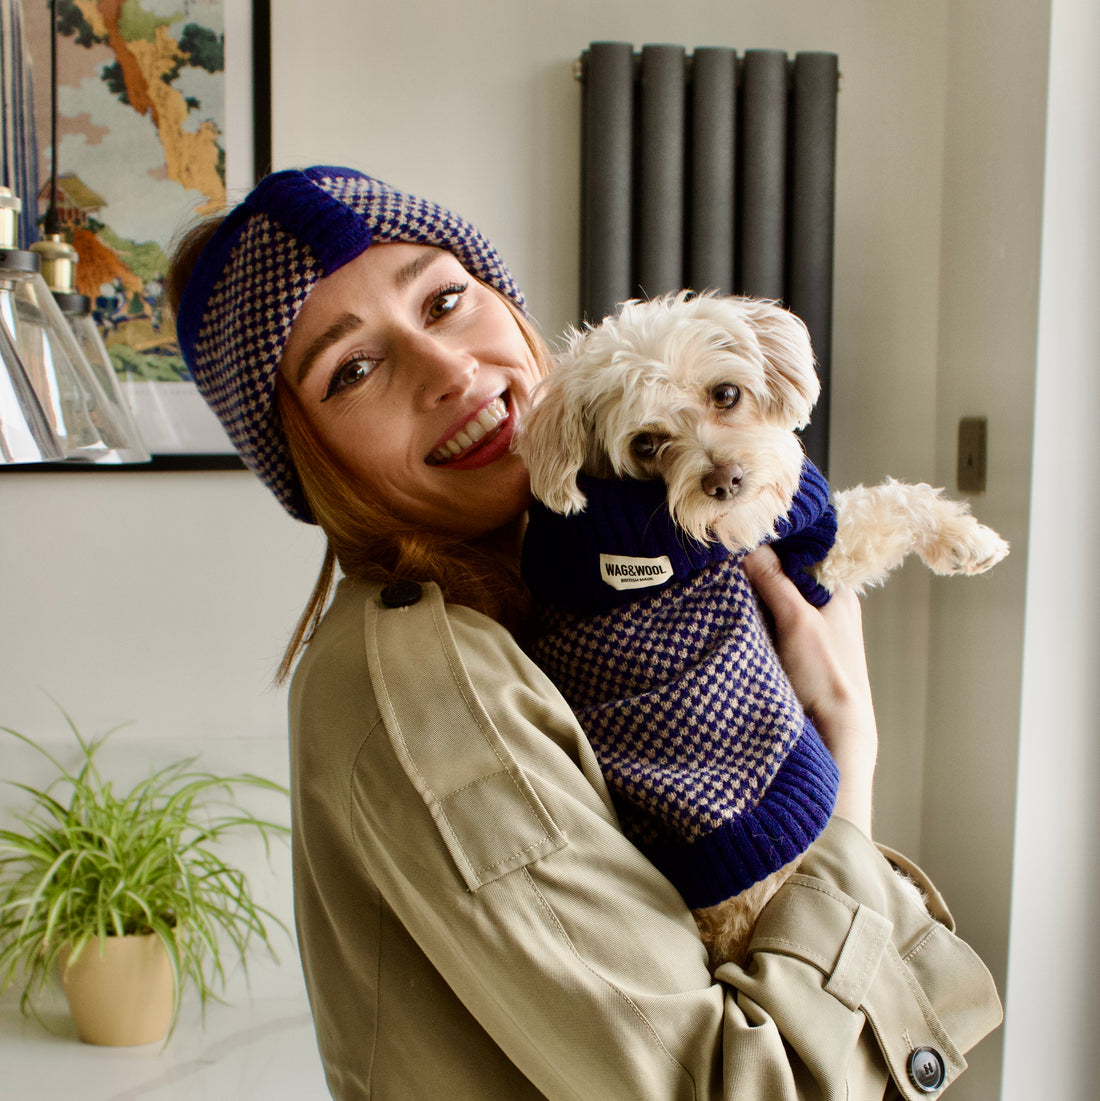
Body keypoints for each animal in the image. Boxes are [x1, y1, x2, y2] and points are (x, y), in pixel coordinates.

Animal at [513, 290, 1008, 964]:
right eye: (646, 445)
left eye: (726, 394)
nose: (724, 482)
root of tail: (727, 927)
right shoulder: (811, 556)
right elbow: (889, 502)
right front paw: (967, 538)